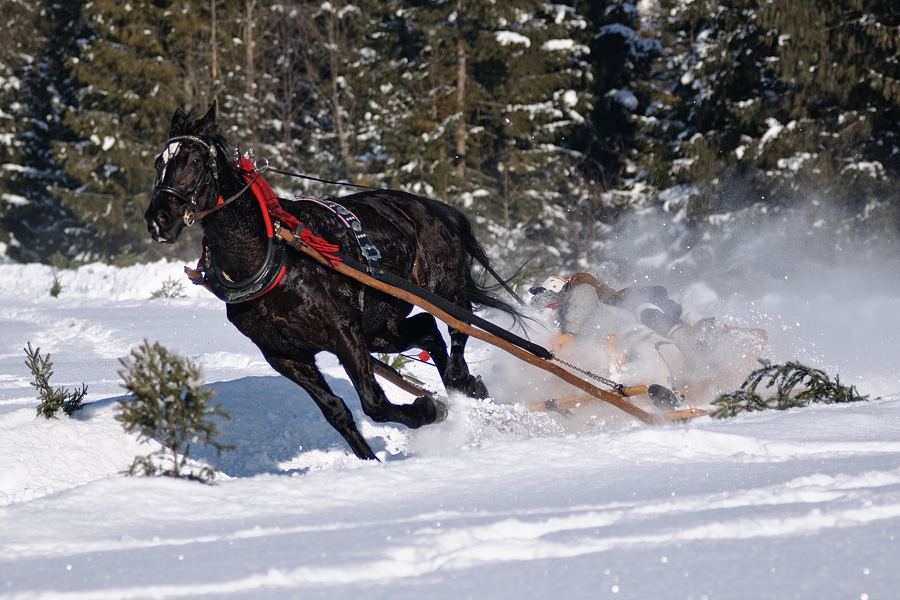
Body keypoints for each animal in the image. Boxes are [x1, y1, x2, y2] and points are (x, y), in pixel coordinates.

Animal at [143, 102, 516, 460]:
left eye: (194, 159)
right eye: (159, 161)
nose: (157, 219)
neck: (276, 258)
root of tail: (434, 207)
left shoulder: (343, 332)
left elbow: (374, 403)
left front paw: (429, 409)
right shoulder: (284, 355)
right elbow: (337, 412)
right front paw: (370, 461)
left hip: (442, 289)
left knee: (458, 327)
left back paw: (460, 379)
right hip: (379, 328)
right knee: (426, 329)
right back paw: (463, 388)